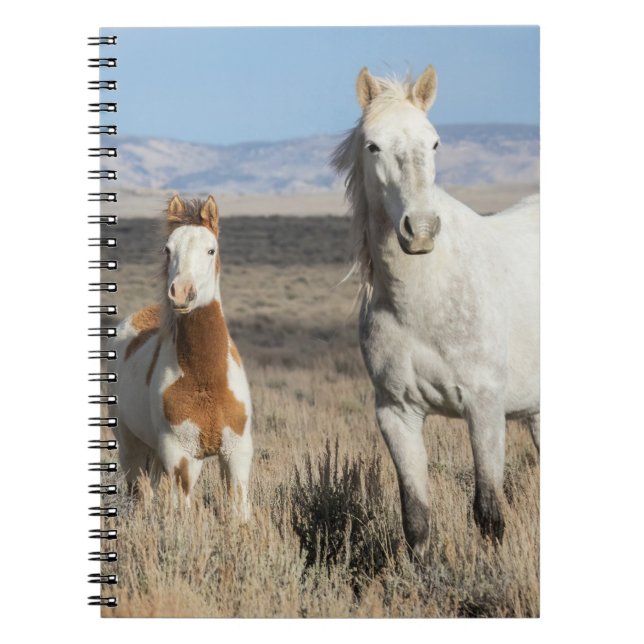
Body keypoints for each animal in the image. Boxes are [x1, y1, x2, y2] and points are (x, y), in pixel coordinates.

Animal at [112, 195, 253, 520]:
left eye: (211, 249)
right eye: (168, 249)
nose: (181, 293)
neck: (205, 379)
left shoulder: (236, 454)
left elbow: (239, 511)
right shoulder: (181, 457)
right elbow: (182, 512)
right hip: (131, 447)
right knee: (140, 493)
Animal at [332, 66, 539, 556]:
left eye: (435, 143)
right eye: (373, 145)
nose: (421, 230)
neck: (423, 301)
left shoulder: (484, 407)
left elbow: (488, 512)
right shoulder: (397, 413)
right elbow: (416, 519)